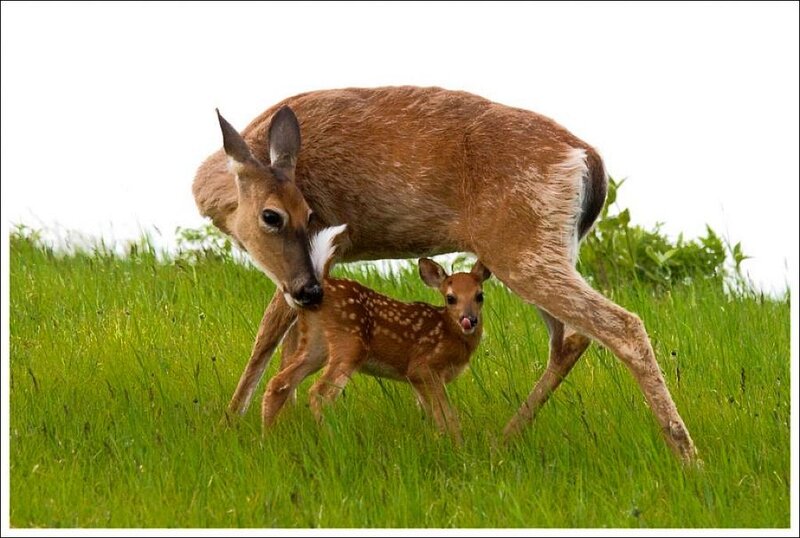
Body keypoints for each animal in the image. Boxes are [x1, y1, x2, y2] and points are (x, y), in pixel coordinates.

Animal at [260, 223, 492, 441]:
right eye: (451, 298)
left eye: (479, 295)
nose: (469, 320)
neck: (450, 333)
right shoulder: (424, 367)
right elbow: (447, 415)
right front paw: (457, 444)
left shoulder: (416, 378)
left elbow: (431, 412)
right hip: (349, 344)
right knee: (319, 393)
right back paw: (332, 437)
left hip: (316, 344)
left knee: (279, 383)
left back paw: (267, 437)